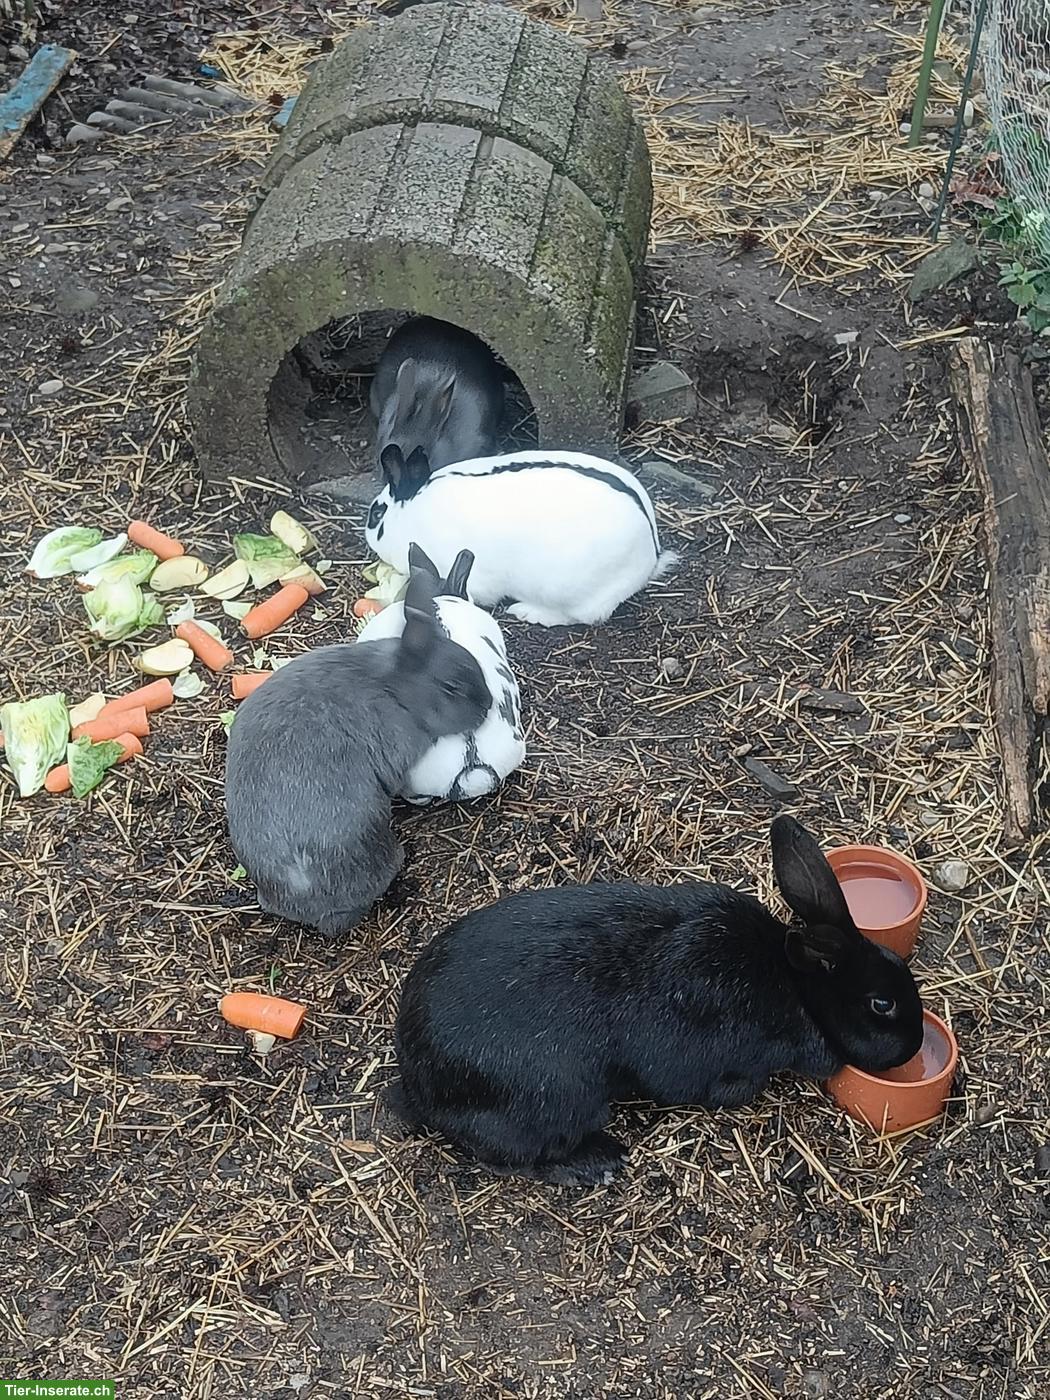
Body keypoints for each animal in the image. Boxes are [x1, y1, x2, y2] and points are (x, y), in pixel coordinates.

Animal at [365, 445, 677, 627]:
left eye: (377, 515)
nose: (368, 538)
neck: (411, 514)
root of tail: (650, 557)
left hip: (564, 588)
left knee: (580, 616)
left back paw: (527, 612)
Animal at [392, 815, 925, 1184]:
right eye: (882, 1005)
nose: (915, 1046)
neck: (794, 983)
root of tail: (417, 1082)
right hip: (562, 1099)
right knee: (512, 1158)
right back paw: (596, 1163)